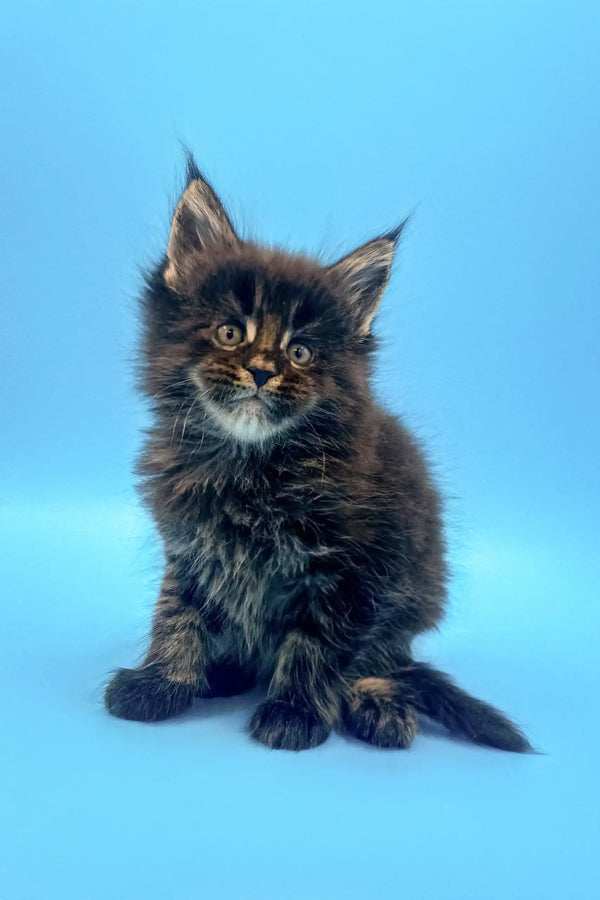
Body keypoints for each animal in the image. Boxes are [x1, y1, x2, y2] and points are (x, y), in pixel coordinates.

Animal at [104, 155, 528, 752]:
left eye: (301, 353)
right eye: (230, 333)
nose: (262, 371)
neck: (249, 464)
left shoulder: (351, 570)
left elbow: (317, 645)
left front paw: (296, 711)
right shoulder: (190, 543)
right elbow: (177, 612)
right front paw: (162, 681)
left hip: (410, 596)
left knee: (387, 660)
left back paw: (376, 703)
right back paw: (224, 671)